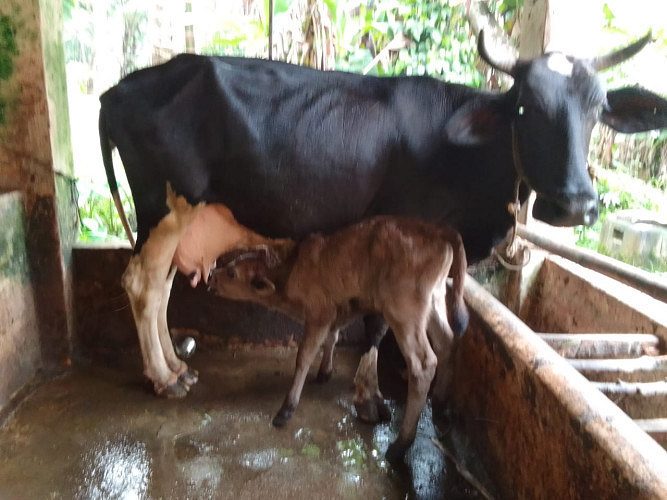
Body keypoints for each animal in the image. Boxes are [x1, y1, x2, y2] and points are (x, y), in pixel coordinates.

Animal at [99, 29, 667, 406]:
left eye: (598, 110)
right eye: (526, 108)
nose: (575, 204)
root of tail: (118, 90)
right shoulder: (398, 231)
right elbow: (377, 322)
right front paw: (369, 391)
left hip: (176, 217)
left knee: (162, 287)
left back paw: (177, 364)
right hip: (165, 206)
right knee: (143, 285)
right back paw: (165, 377)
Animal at [207, 214, 468, 463]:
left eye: (231, 273)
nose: (210, 275)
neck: (292, 270)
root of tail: (439, 230)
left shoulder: (319, 313)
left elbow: (303, 356)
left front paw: (286, 409)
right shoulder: (335, 311)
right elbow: (331, 338)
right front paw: (325, 372)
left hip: (404, 312)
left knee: (423, 364)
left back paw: (400, 445)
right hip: (434, 301)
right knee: (447, 342)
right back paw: (440, 405)